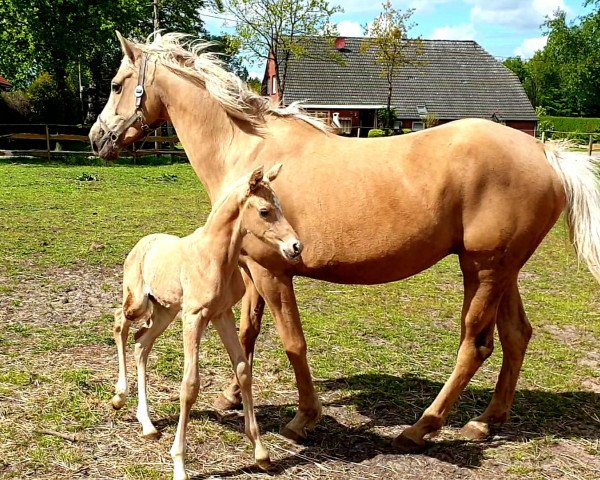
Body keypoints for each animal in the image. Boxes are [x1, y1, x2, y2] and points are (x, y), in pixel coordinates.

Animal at [110, 164, 302, 476]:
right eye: (264, 211)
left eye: (281, 207)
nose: (296, 247)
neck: (214, 257)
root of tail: (142, 242)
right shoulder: (194, 317)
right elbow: (190, 385)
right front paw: (179, 464)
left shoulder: (221, 314)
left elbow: (243, 370)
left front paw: (261, 453)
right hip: (139, 302)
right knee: (120, 323)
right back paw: (119, 397)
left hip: (165, 311)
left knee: (141, 343)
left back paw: (147, 424)